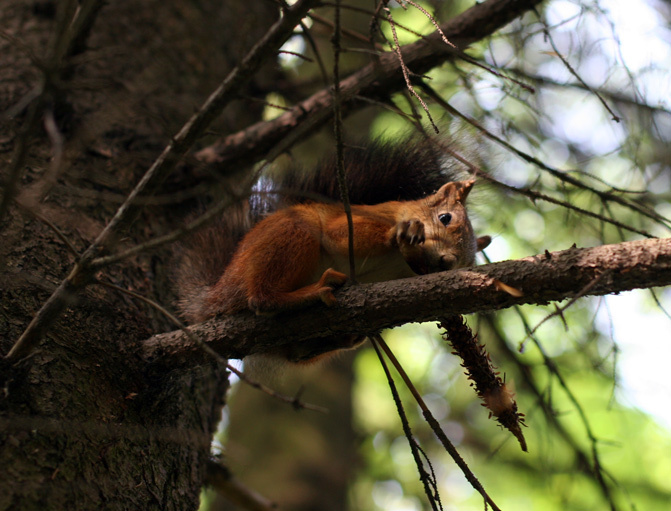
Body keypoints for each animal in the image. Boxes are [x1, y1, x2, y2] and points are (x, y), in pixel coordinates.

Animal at [176, 137, 491, 363]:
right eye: (445, 218)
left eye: (466, 264)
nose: (447, 261)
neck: (397, 265)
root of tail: (220, 291)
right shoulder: (365, 217)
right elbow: (338, 235)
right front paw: (400, 234)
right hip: (293, 233)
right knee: (261, 300)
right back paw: (312, 291)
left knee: (297, 353)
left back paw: (346, 337)